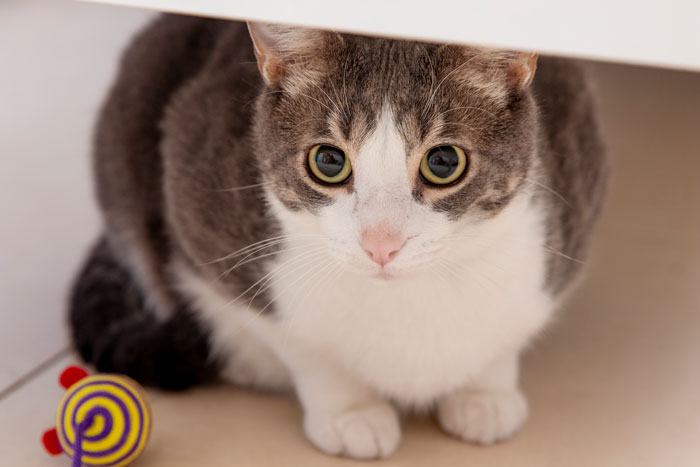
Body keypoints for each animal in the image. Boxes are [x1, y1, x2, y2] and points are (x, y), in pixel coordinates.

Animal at [69, 13, 608, 460]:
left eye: (444, 162)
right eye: (328, 161)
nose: (381, 243)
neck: (408, 305)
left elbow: (510, 333)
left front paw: (485, 393)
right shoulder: (201, 206)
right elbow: (298, 343)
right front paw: (351, 412)